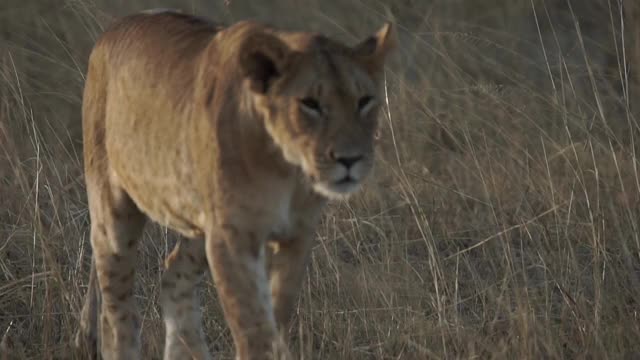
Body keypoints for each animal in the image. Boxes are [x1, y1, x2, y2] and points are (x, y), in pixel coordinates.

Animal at [75, 9, 396, 360]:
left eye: (364, 101)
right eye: (309, 103)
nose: (351, 159)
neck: (287, 168)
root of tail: (112, 30)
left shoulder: (297, 235)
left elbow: (277, 317)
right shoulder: (231, 238)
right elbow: (252, 324)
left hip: (198, 225)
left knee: (174, 276)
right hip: (113, 214)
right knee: (117, 312)